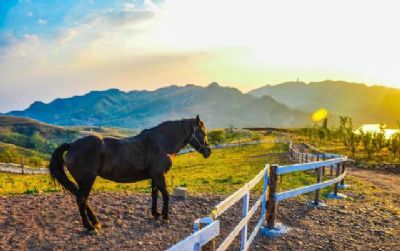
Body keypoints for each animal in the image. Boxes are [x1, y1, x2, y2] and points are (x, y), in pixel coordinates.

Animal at [48, 115, 211, 233]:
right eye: (202, 132)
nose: (208, 151)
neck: (161, 143)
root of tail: (72, 145)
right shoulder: (159, 175)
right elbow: (165, 195)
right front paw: (165, 216)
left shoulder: (154, 176)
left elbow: (155, 194)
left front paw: (156, 213)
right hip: (87, 180)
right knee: (81, 200)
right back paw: (90, 226)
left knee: (82, 200)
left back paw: (95, 222)